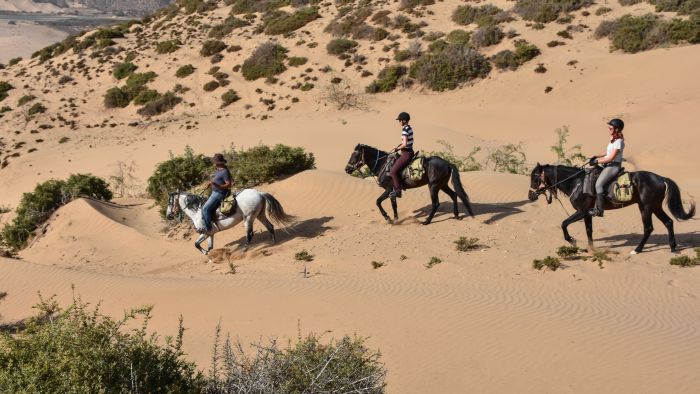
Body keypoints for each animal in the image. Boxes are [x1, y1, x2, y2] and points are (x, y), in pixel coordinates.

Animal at [167, 190, 296, 255]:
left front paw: (207, 255)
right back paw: (273, 243)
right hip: (260, 215)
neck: (197, 212)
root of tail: (259, 193)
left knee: (250, 234)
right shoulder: (210, 234)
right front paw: (210, 254)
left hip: (248, 218)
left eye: (169, 202)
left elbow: (196, 245)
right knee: (270, 226)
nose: (168, 216)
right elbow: (209, 247)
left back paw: (244, 251)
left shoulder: (205, 232)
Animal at [346, 144, 476, 225]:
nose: (346, 169)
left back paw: (426, 221)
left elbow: (378, 201)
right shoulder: (393, 192)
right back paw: (456, 215)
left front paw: (388, 218)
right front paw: (395, 219)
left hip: (433, 186)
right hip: (442, 185)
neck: (383, 164)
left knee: (436, 203)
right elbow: (394, 205)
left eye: (355, 156)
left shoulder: (389, 189)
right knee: (454, 195)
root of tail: (447, 163)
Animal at [532, 162, 696, 252]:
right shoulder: (587, 214)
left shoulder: (582, 211)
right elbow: (588, 231)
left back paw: (637, 250)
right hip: (655, 207)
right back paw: (673, 247)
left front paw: (572, 241)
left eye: (534, 178)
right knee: (668, 222)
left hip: (646, 208)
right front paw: (591, 249)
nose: (530, 196)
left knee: (648, 228)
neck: (576, 182)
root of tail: (661, 178)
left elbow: (564, 224)